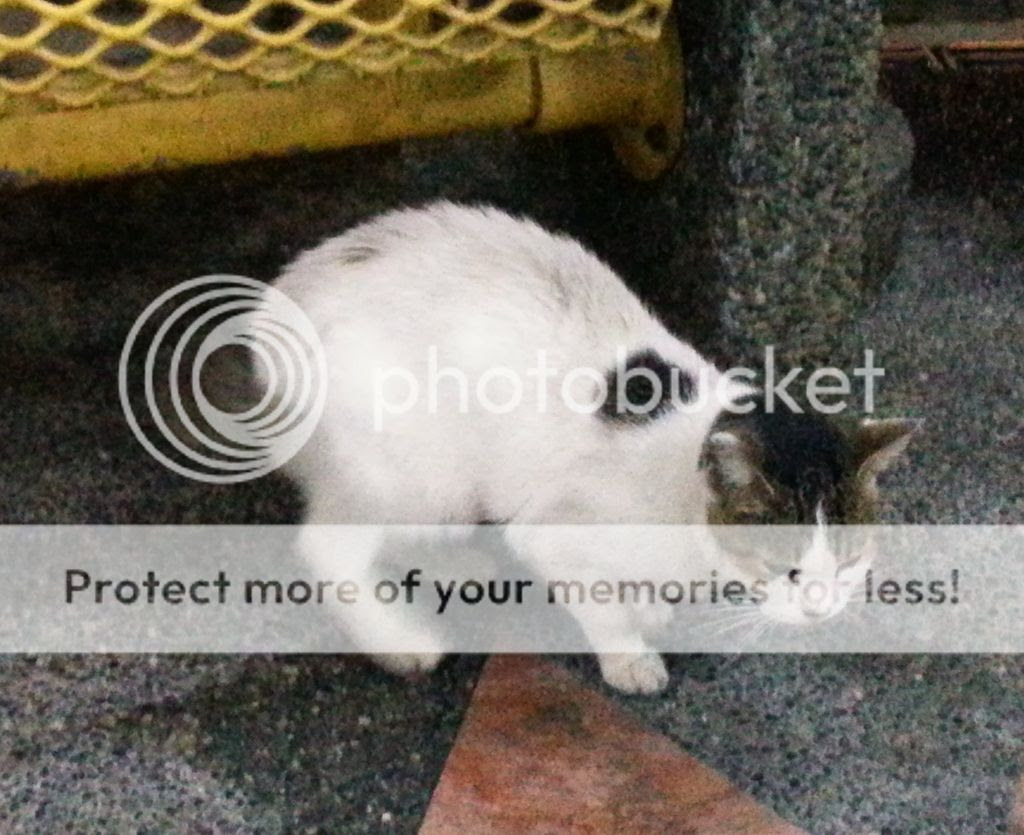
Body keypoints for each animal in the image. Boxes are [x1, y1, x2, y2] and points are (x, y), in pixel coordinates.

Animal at [256, 201, 917, 693]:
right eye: (785, 566)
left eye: (852, 560)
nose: (820, 610)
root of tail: (288, 295)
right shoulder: (555, 529)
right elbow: (598, 600)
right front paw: (628, 654)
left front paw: (647, 604)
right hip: (416, 471)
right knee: (329, 549)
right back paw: (399, 642)